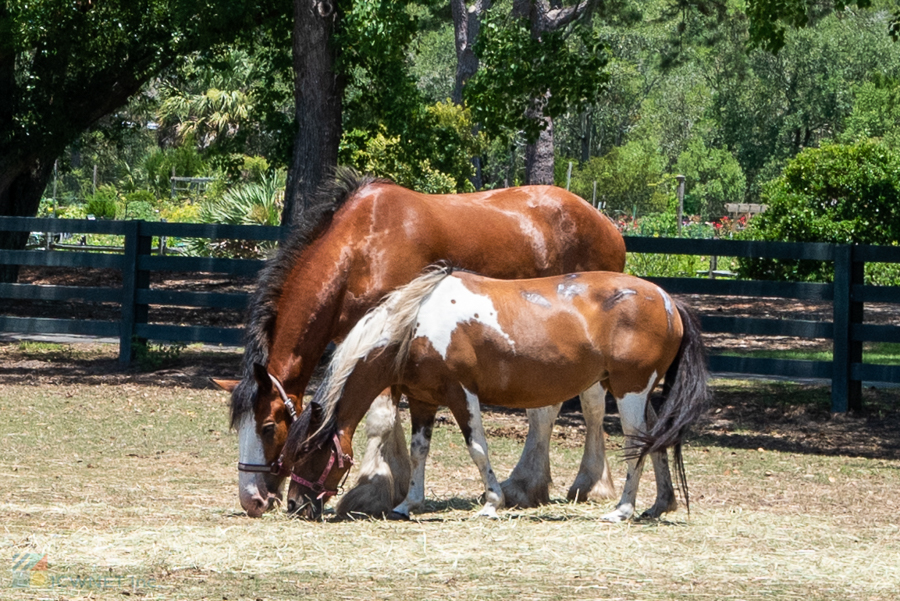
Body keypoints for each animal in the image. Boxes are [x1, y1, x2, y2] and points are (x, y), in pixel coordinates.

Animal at [214, 168, 628, 516]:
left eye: (269, 427)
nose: (252, 499)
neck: (362, 247)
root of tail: (606, 223)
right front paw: (397, 486)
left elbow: (380, 418)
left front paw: (371, 491)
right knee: (546, 407)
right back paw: (529, 485)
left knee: (589, 405)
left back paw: (585, 483)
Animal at [282, 266, 712, 520]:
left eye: (307, 453)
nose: (293, 505)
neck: (414, 325)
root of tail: (669, 300)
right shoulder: (423, 398)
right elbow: (421, 450)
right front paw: (408, 503)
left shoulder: (462, 393)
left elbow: (477, 448)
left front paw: (492, 501)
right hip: (637, 392)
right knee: (656, 443)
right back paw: (658, 505)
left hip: (629, 392)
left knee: (637, 443)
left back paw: (623, 509)